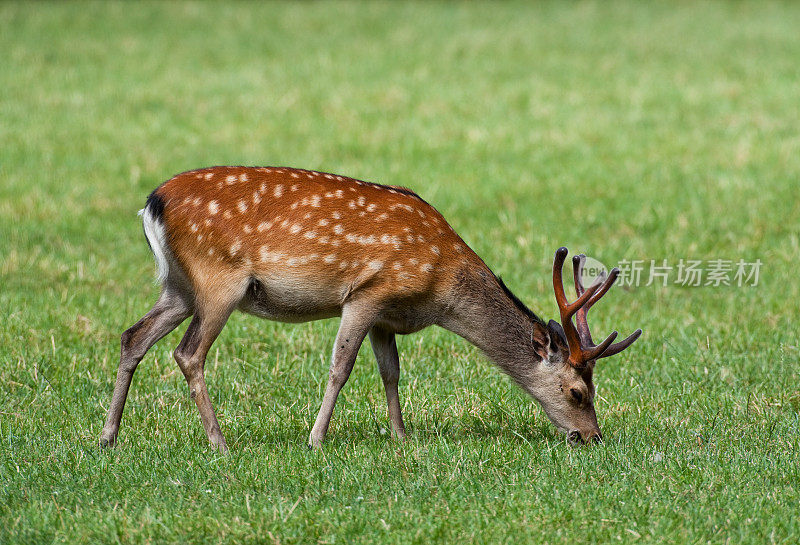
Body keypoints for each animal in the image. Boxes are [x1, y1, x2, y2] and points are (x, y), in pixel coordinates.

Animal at [100, 165, 640, 450]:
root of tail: (153, 203)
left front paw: (401, 437)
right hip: (218, 282)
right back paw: (219, 441)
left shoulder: (387, 317)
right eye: (578, 392)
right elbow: (341, 367)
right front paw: (316, 439)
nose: (592, 437)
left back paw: (108, 436)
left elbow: (390, 372)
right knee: (189, 353)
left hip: (178, 287)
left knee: (133, 336)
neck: (437, 288)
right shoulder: (367, 293)